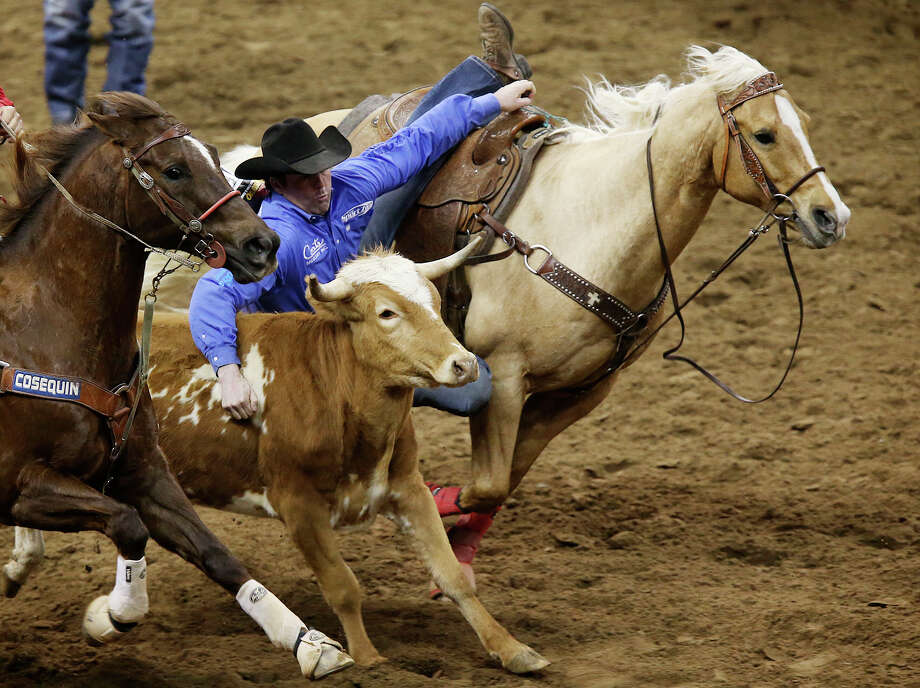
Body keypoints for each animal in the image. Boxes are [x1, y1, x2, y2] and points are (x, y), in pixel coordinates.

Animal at [0, 94, 352, 680]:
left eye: (211, 153)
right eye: (173, 170)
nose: (263, 243)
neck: (46, 331)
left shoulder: (145, 472)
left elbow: (216, 553)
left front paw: (308, 641)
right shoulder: (20, 486)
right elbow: (129, 527)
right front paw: (109, 615)